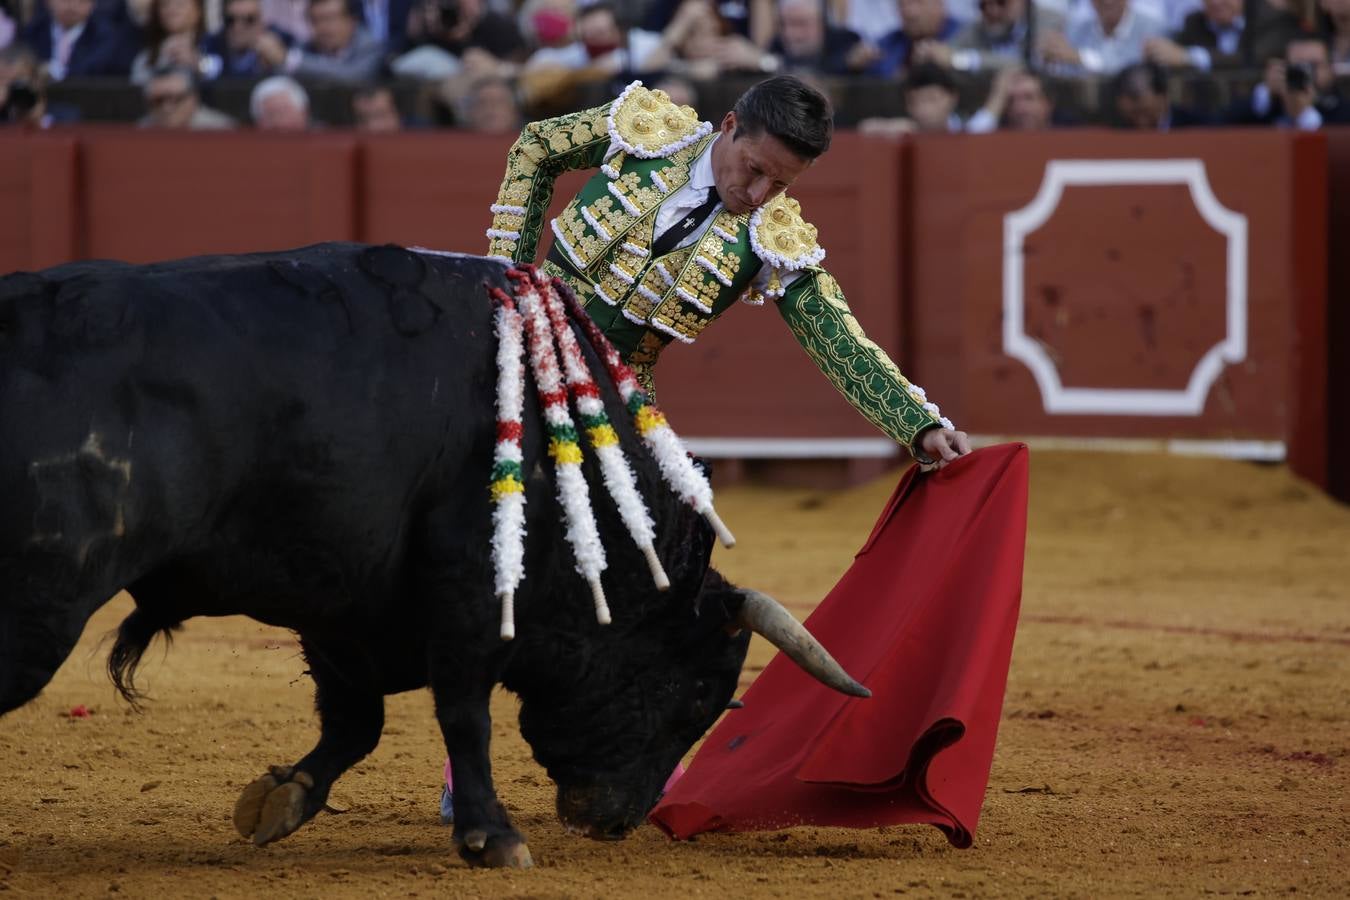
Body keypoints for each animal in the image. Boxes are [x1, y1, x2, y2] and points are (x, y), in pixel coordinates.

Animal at [0, 242, 864, 868]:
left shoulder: (344, 604)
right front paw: (493, 837)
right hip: (40, 609)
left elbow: (357, 723)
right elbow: (463, 713)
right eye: (696, 697)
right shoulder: (469, 593)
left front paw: (283, 798)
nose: (615, 823)